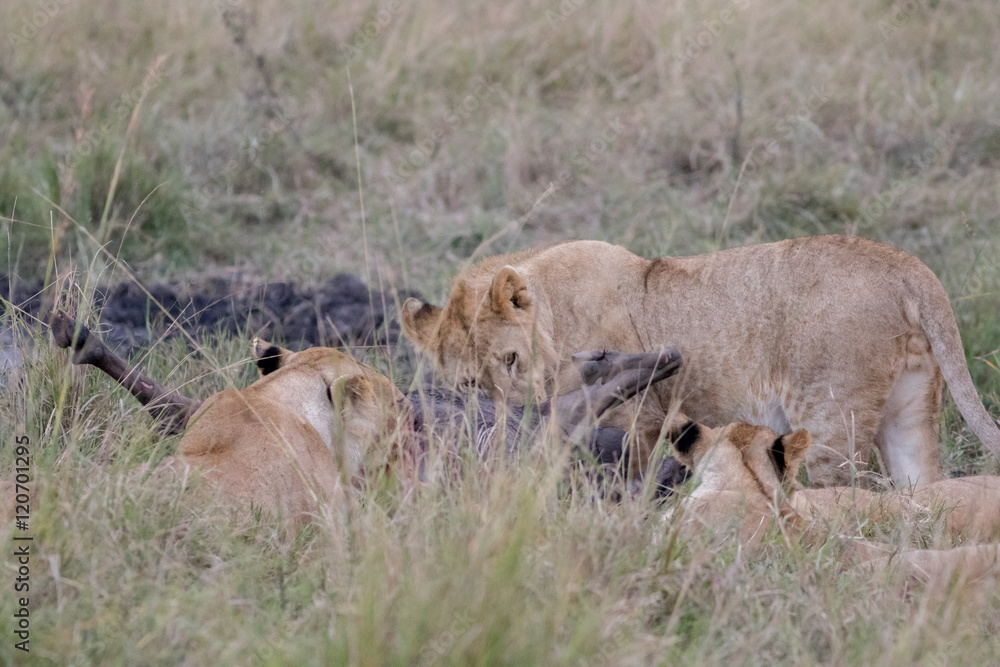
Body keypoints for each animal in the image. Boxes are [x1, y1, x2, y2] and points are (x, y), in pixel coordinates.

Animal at [401, 235, 1000, 486]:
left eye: (510, 359)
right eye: (466, 384)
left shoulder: (639, 421)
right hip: (909, 410)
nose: (513, 417)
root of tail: (906, 265)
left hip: (830, 418)